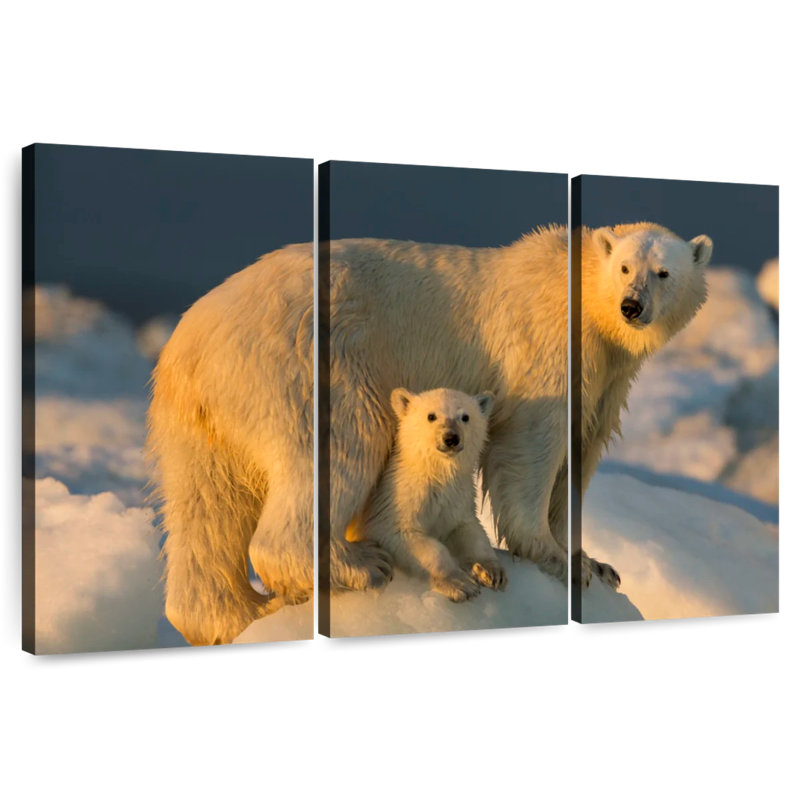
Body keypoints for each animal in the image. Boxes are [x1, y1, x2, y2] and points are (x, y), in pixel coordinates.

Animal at [348, 387, 507, 602]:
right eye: (431, 416)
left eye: (465, 416)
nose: (451, 438)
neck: (435, 473)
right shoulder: (396, 499)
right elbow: (406, 536)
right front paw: (460, 583)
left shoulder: (457, 497)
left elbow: (468, 529)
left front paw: (491, 571)